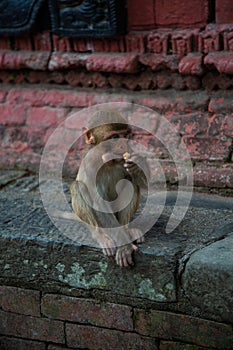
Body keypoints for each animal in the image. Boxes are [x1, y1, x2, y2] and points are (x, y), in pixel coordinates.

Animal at [70, 110, 149, 268]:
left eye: (126, 135)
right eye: (114, 137)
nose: (125, 145)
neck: (107, 159)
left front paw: (136, 166)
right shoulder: (91, 163)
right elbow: (99, 203)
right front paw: (124, 247)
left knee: (130, 183)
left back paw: (127, 230)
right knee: (78, 186)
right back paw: (101, 236)